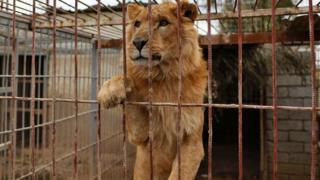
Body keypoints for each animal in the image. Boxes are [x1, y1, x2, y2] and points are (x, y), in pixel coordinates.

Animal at [97, 1, 208, 179]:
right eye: (137, 24)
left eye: (163, 22)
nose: (137, 42)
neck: (164, 76)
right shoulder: (142, 136)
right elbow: (129, 82)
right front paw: (110, 89)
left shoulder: (193, 142)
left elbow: (180, 173)